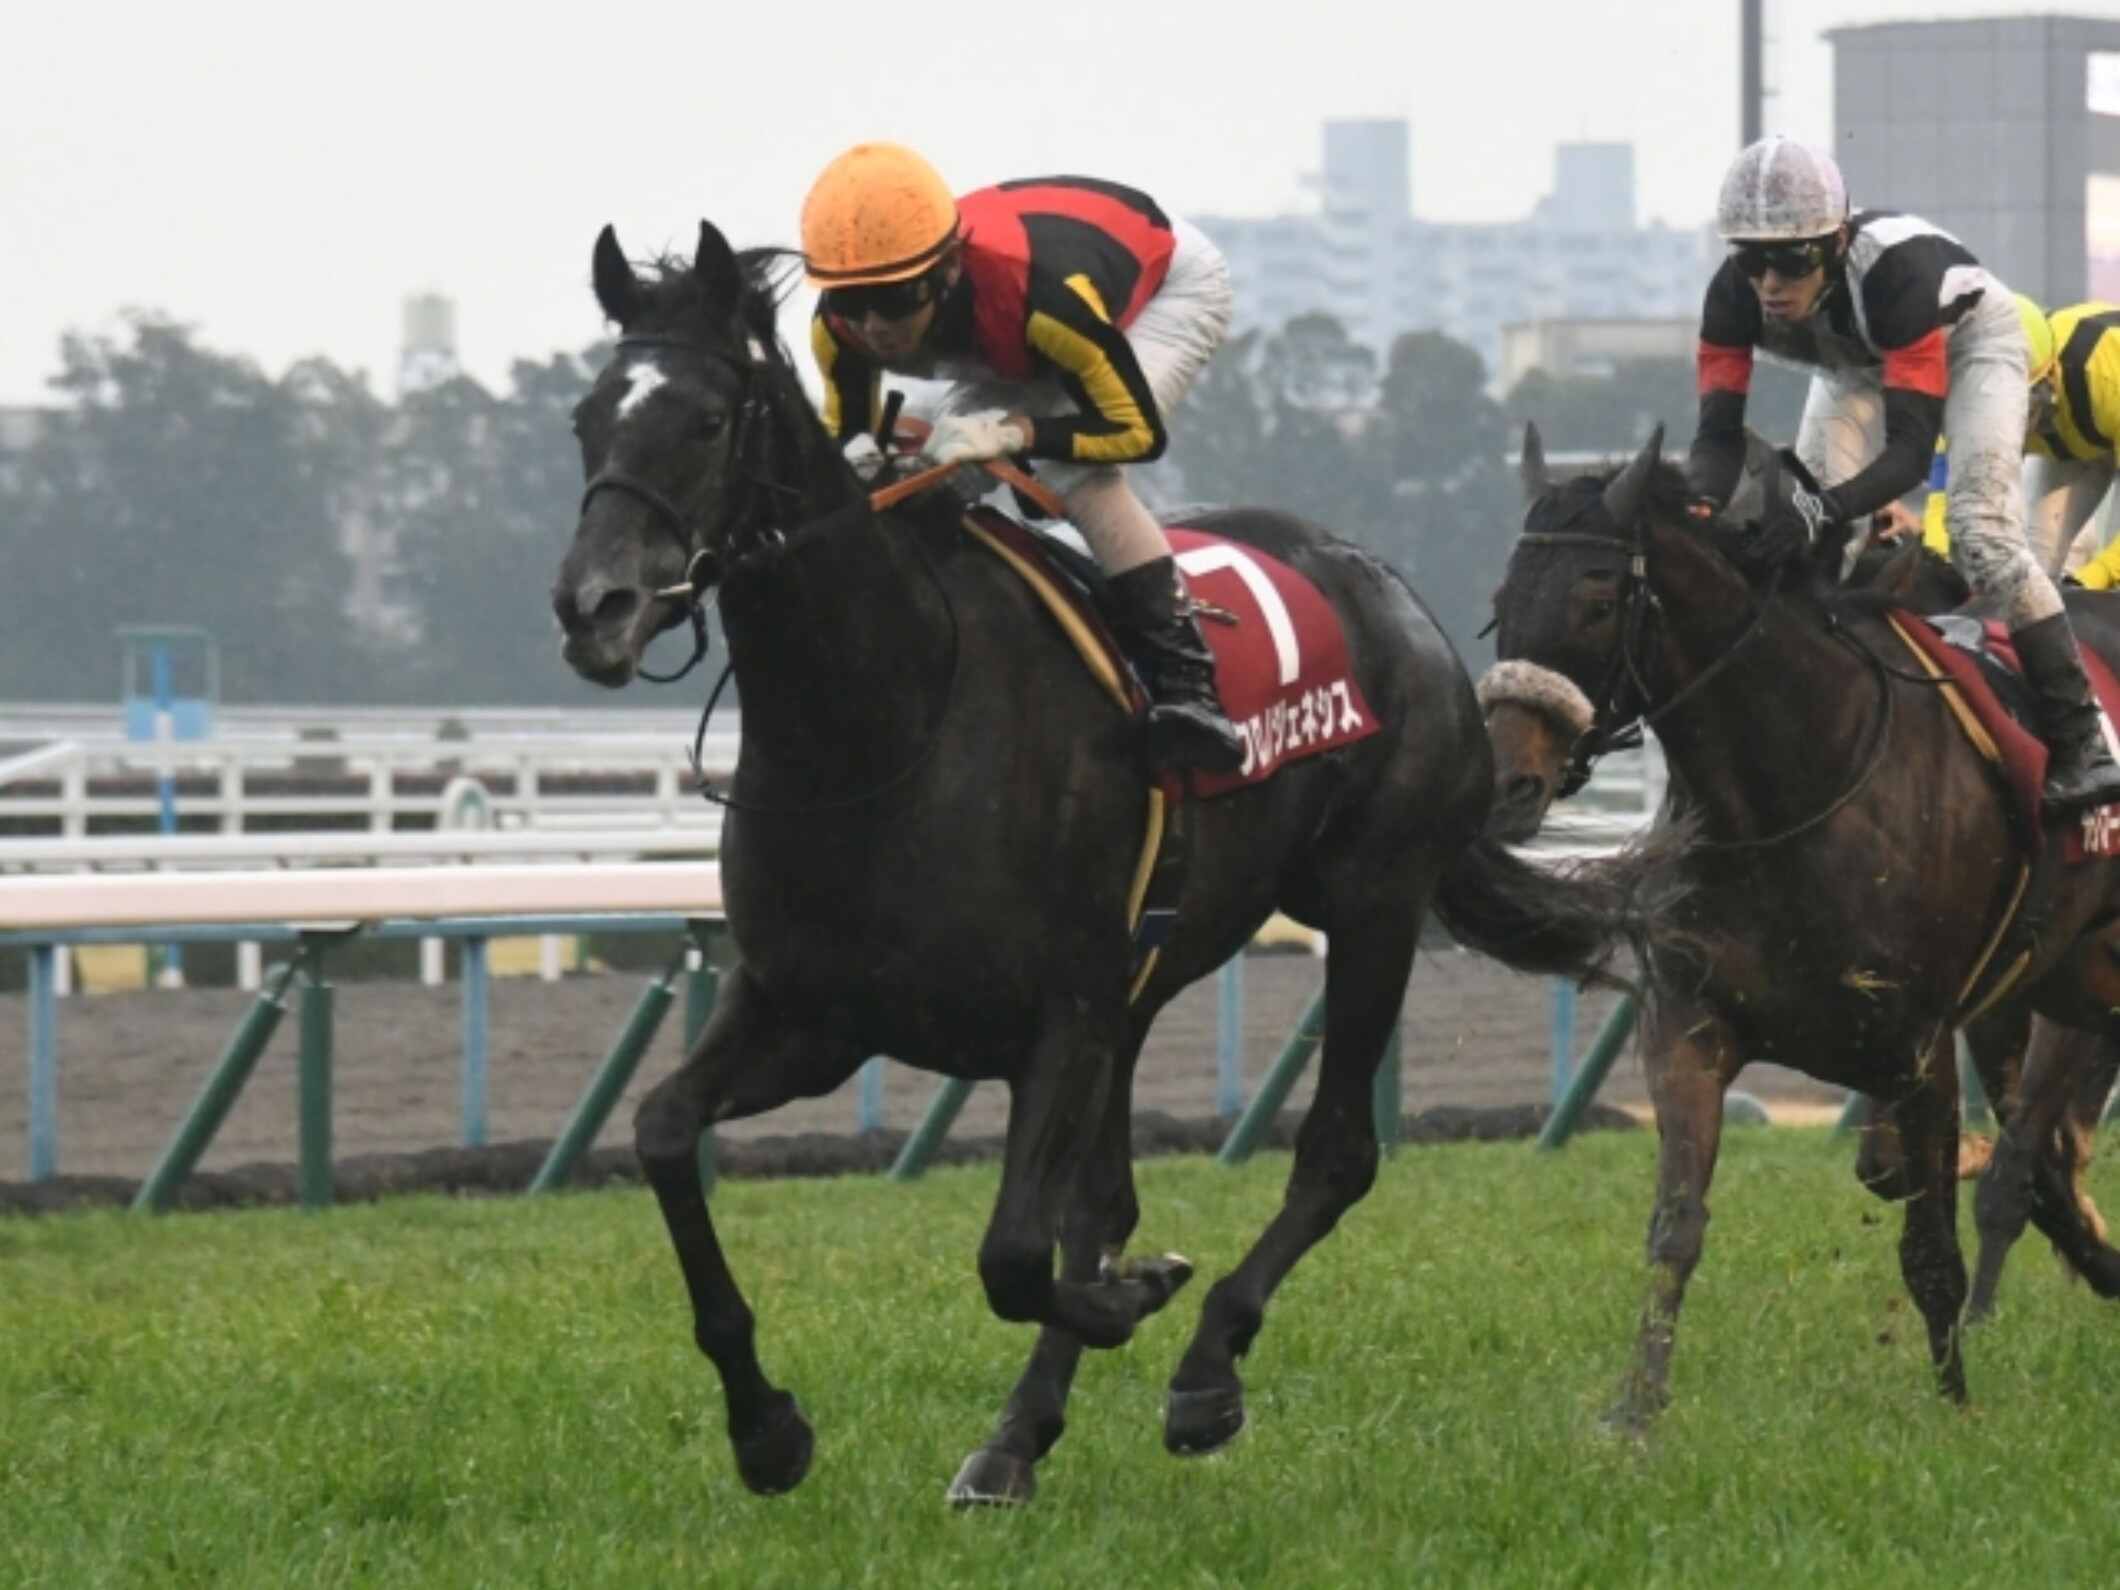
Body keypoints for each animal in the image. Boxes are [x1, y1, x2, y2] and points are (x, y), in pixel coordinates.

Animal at [546, 224, 1636, 1509]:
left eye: (709, 421)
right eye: (585, 418)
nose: (594, 606)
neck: (884, 723)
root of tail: (1389, 588)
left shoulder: (1057, 1014)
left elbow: (1018, 1255)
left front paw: (1137, 1300)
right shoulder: (811, 1016)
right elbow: (665, 1134)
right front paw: (766, 1427)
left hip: (1373, 901)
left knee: (1333, 1154)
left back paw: (1202, 1370)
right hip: (1151, 972)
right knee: (1110, 1191)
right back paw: (1017, 1438)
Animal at [1500, 432, 2120, 1433]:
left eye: (1595, 604)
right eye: (1500, 603)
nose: (1507, 779)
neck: (1790, 783)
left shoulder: (1920, 1039)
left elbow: (1929, 1246)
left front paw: (1955, 1409)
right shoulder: (1688, 1023)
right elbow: (1676, 1226)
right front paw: (1634, 1412)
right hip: (2077, 975)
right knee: (2049, 1159)